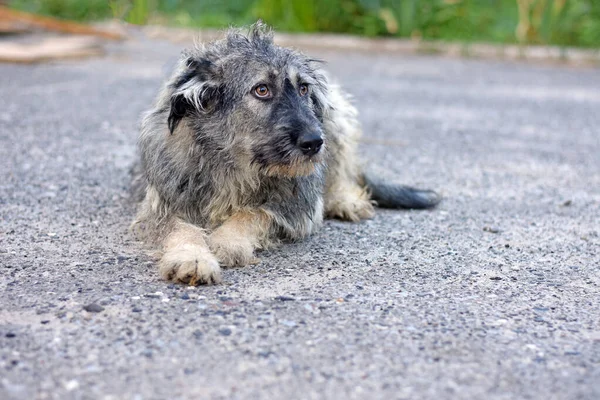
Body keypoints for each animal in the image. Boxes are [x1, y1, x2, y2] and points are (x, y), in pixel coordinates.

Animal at [132, 22, 440, 284]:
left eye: (303, 88)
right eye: (262, 90)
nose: (314, 142)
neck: (234, 162)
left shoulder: (296, 207)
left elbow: (254, 213)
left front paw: (227, 241)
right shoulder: (164, 202)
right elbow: (179, 227)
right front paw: (192, 258)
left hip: (337, 119)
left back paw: (345, 199)